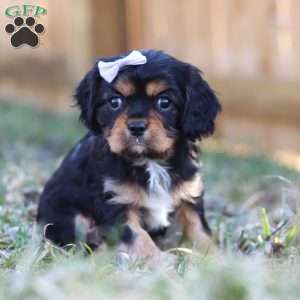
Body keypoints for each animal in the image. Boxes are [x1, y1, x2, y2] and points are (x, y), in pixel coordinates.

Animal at [37, 49, 220, 260]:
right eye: (114, 102)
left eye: (164, 102)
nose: (137, 127)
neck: (150, 160)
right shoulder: (116, 204)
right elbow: (139, 238)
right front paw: (163, 262)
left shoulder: (189, 200)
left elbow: (201, 233)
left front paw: (220, 260)